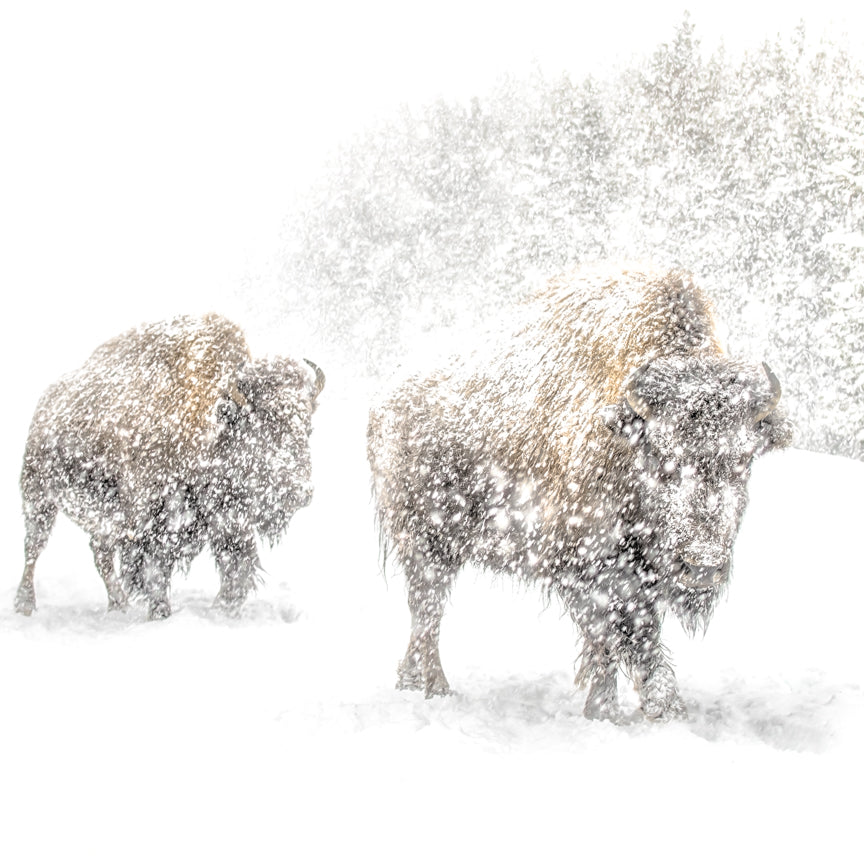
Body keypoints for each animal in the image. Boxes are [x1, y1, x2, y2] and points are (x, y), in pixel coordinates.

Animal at [15, 316, 326, 620]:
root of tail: (46, 402)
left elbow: (236, 568)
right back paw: (25, 604)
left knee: (99, 555)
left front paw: (224, 608)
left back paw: (118, 605)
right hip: (38, 497)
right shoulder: (150, 523)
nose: (301, 492)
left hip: (100, 517)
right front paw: (161, 612)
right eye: (261, 429)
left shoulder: (228, 521)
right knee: (33, 548)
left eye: (308, 429)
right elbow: (155, 572)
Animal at [368, 264, 792, 724]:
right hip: (426, 543)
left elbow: (636, 636)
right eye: (661, 455)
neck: (625, 435)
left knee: (423, 613)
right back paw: (437, 689)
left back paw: (410, 681)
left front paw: (658, 709)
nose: (702, 566)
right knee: (428, 611)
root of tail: (386, 401)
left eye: (744, 459)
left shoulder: (638, 571)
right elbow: (613, 638)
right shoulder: (587, 565)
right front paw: (610, 712)